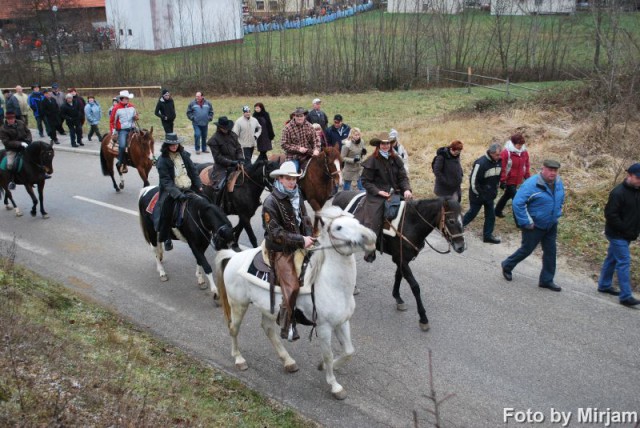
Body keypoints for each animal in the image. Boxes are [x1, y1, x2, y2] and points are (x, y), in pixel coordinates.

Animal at [215, 207, 376, 402]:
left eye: (356, 221)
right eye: (338, 227)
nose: (370, 238)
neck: (331, 284)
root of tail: (234, 257)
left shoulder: (342, 323)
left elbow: (349, 351)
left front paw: (323, 366)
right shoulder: (324, 327)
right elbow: (328, 355)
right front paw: (335, 385)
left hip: (268, 309)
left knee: (268, 329)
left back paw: (288, 361)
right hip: (238, 305)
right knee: (233, 329)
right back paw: (239, 360)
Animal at [332, 192, 462, 332]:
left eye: (463, 219)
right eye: (451, 220)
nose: (461, 246)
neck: (410, 223)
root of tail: (339, 194)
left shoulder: (401, 259)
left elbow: (398, 276)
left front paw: (398, 298)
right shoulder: (401, 260)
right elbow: (415, 286)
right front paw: (423, 318)